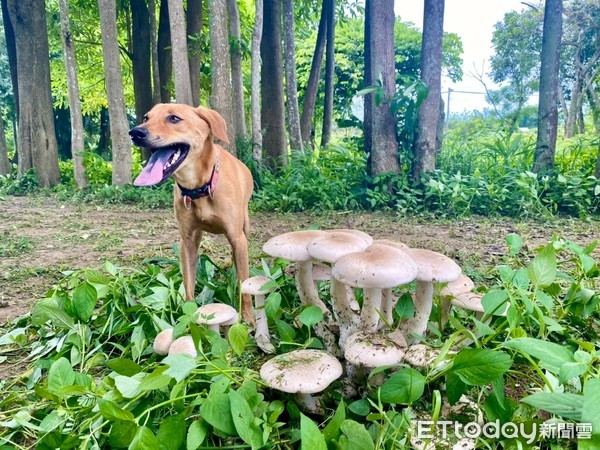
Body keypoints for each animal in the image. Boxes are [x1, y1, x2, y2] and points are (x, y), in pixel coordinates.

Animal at [130, 103, 254, 326]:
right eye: (146, 117)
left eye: (174, 118)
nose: (135, 132)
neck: (199, 188)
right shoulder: (187, 240)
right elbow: (188, 283)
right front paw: (190, 319)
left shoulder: (237, 237)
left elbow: (245, 285)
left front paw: (249, 319)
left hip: (244, 229)